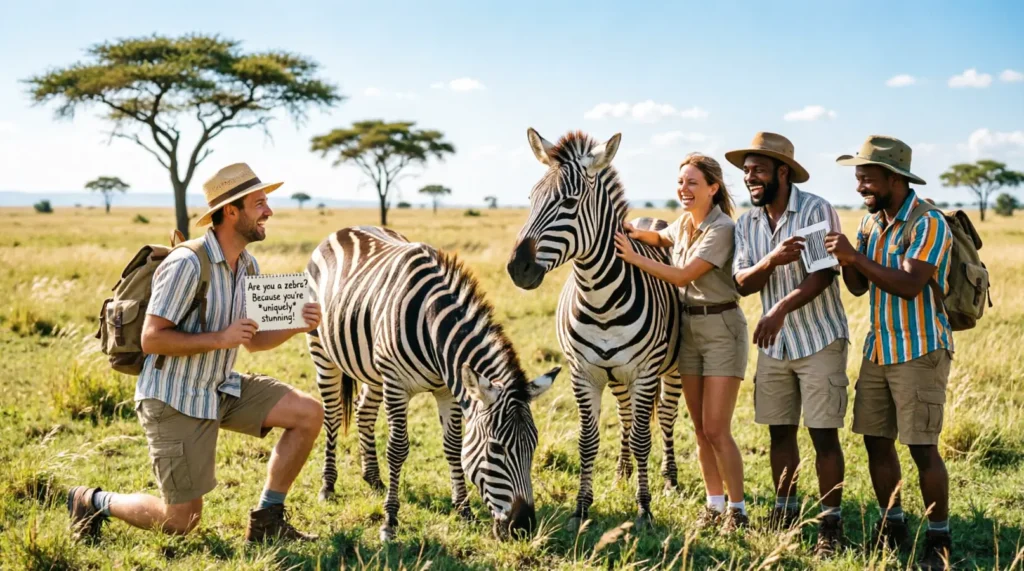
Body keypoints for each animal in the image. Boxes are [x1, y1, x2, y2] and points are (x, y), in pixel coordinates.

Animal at [305, 226, 560, 541]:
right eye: (496, 449)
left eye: (533, 446)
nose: (523, 528)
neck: (431, 323)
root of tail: (344, 229)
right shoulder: (397, 384)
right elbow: (398, 448)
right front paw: (390, 520)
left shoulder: (447, 388)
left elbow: (453, 446)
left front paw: (463, 509)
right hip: (322, 352)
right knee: (332, 416)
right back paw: (328, 485)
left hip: (372, 368)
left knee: (364, 410)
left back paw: (374, 479)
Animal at [506, 129, 682, 527]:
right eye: (530, 199)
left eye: (569, 202)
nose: (517, 269)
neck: (600, 300)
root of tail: (650, 218)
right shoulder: (583, 372)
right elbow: (588, 441)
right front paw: (581, 508)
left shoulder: (645, 372)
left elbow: (644, 439)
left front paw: (644, 509)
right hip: (616, 376)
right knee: (627, 416)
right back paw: (622, 472)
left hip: (674, 367)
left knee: (664, 418)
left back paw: (669, 480)